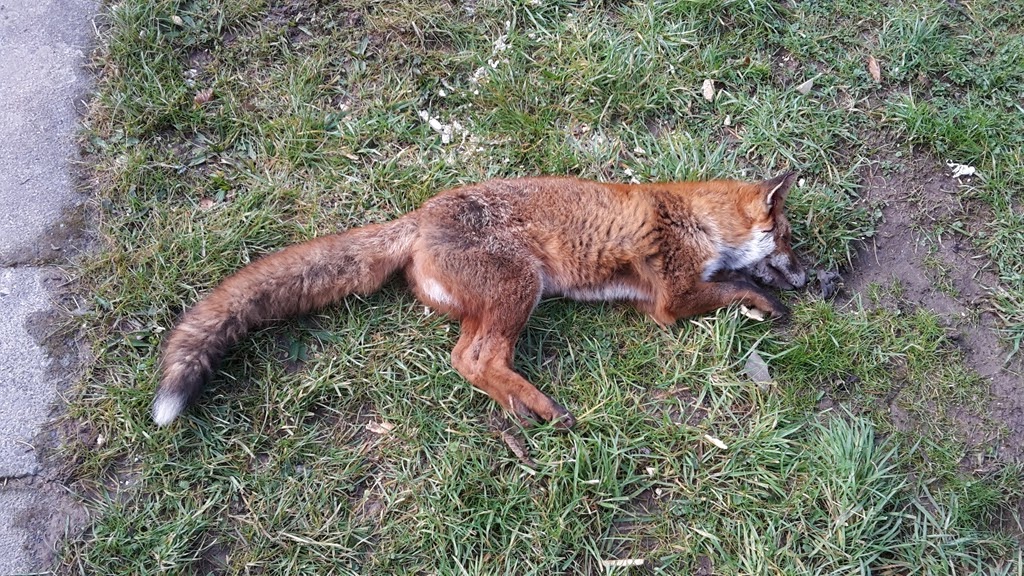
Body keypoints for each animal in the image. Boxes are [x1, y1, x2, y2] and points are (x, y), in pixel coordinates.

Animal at [153, 172, 806, 429]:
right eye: (788, 237)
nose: (806, 277)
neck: (700, 219)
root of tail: (420, 215)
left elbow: (735, 287)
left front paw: (762, 303)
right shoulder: (671, 297)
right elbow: (735, 285)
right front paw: (769, 303)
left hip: (492, 304)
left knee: (466, 359)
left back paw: (517, 406)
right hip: (520, 289)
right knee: (476, 358)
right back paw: (540, 407)